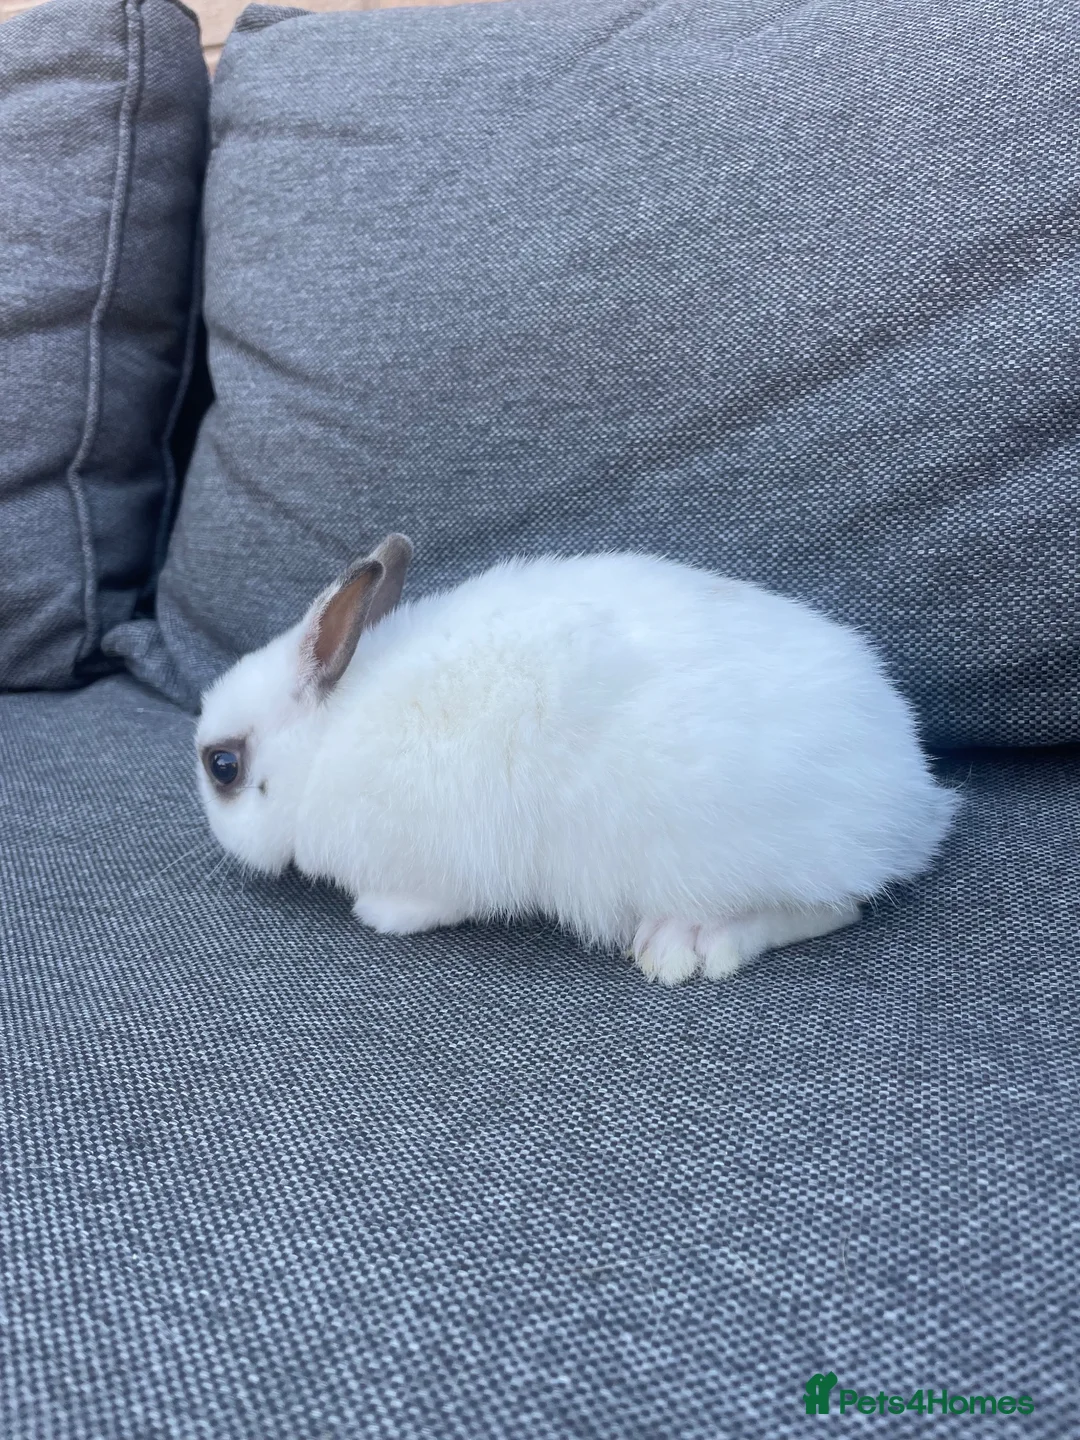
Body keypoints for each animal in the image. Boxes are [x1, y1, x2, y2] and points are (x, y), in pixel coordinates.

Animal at [195, 534, 958, 986]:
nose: (214, 832)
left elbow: (428, 901)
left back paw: (688, 944)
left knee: (833, 908)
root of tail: (911, 802)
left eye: (223, 766)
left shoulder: (440, 862)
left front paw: (380, 914)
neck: (323, 745)